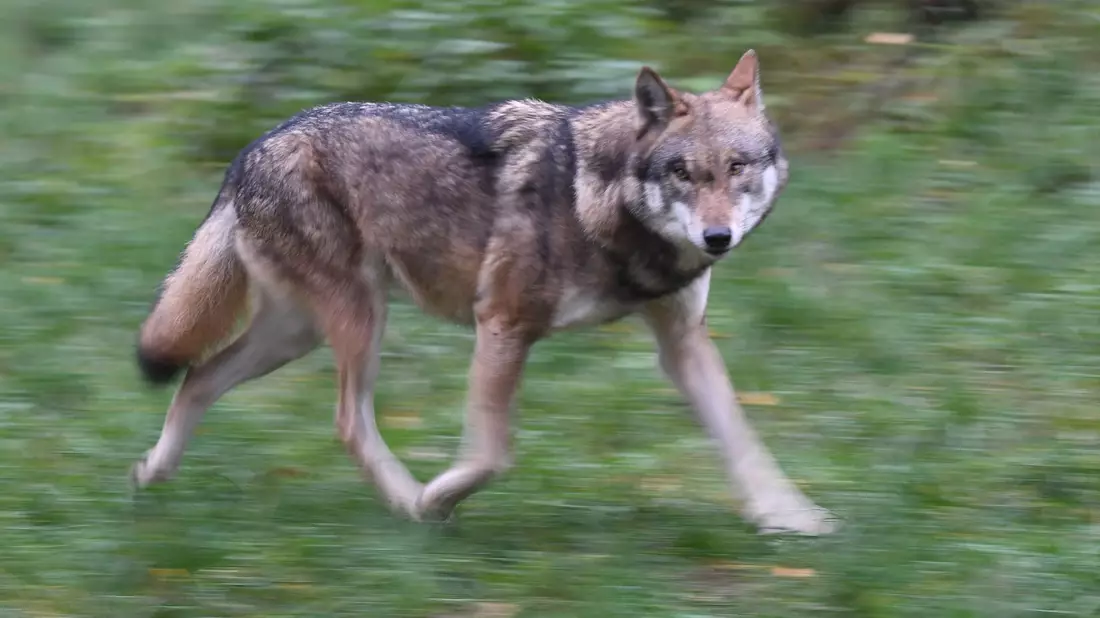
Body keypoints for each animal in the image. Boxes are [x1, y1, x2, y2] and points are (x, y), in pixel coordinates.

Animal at [131, 50, 836, 535]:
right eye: (684, 173)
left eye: (737, 168)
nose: (717, 237)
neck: (600, 203)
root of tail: (250, 149)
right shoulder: (502, 323)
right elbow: (493, 454)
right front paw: (437, 497)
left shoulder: (682, 343)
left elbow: (743, 439)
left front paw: (791, 518)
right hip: (358, 321)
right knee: (346, 422)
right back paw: (408, 503)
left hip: (296, 333)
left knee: (199, 376)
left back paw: (152, 473)